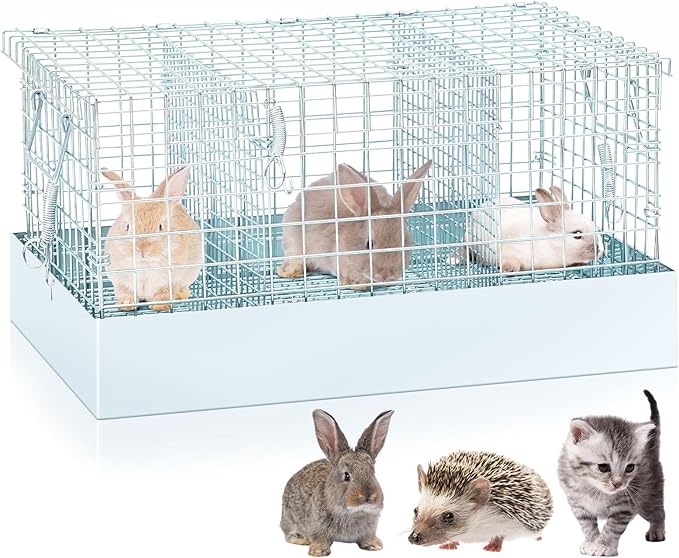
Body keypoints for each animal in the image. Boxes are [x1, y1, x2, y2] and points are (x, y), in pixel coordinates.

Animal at [102, 166, 203, 312]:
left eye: (160, 226)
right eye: (127, 226)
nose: (141, 249)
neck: (145, 264)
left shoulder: (169, 281)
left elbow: (163, 293)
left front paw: (160, 306)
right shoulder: (121, 280)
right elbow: (125, 293)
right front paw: (126, 305)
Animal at [281, 409, 395, 557]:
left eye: (373, 473)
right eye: (346, 476)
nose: (368, 496)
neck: (352, 512)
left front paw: (374, 545)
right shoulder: (318, 527)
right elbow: (320, 538)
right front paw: (318, 551)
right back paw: (302, 539)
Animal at [456, 186, 604, 273]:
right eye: (577, 234)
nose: (599, 250)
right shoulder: (512, 251)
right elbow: (510, 261)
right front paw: (508, 270)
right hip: (470, 240)